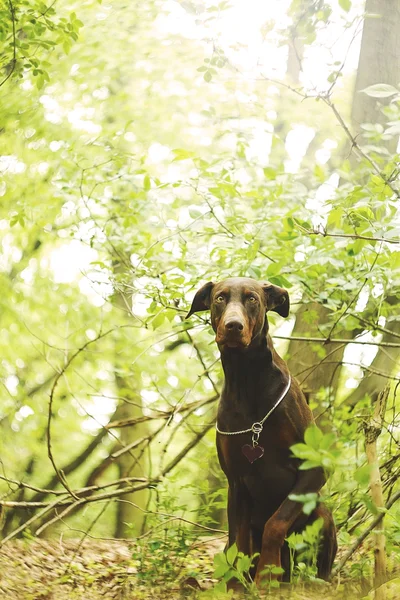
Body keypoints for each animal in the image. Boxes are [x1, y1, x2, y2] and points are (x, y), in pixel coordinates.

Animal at [186, 278, 336, 584]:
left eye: (252, 299)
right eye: (220, 298)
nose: (233, 326)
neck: (247, 379)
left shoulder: (314, 470)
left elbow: (275, 523)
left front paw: (267, 577)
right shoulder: (236, 482)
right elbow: (238, 543)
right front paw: (236, 587)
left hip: (320, 513)